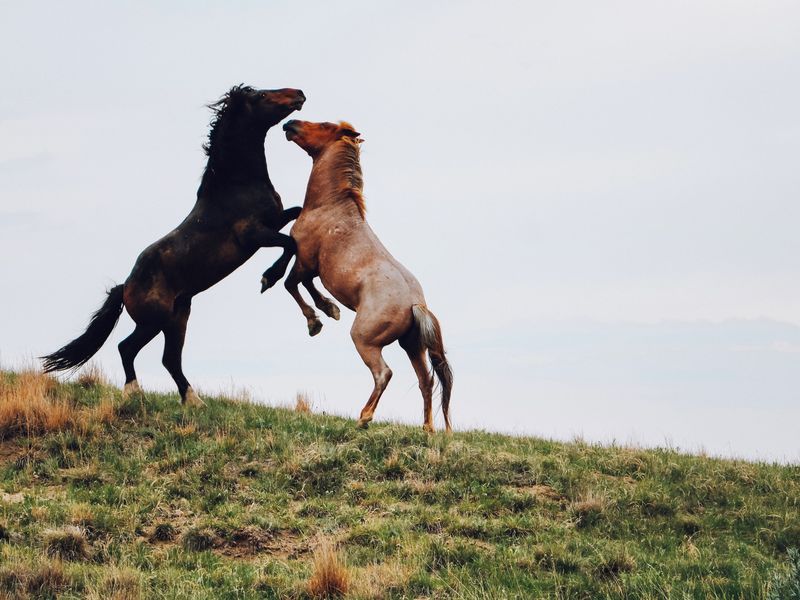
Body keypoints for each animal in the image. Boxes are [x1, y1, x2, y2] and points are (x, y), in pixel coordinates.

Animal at [42, 84, 308, 406]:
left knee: (170, 359)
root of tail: (125, 286)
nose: (299, 93)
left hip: (178, 317)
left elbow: (296, 215)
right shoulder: (252, 235)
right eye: (261, 96)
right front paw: (268, 279)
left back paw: (193, 400)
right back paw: (134, 392)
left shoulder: (273, 220)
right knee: (127, 348)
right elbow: (290, 242)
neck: (235, 186)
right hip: (153, 322)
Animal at [280, 119, 454, 434]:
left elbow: (291, 284)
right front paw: (330, 309)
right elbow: (307, 286)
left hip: (365, 340)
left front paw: (316, 322)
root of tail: (415, 304)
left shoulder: (305, 261)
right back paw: (428, 428)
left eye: (324, 125)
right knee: (426, 381)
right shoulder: (314, 269)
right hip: (412, 346)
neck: (330, 208)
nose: (290, 123)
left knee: (384, 373)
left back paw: (364, 417)